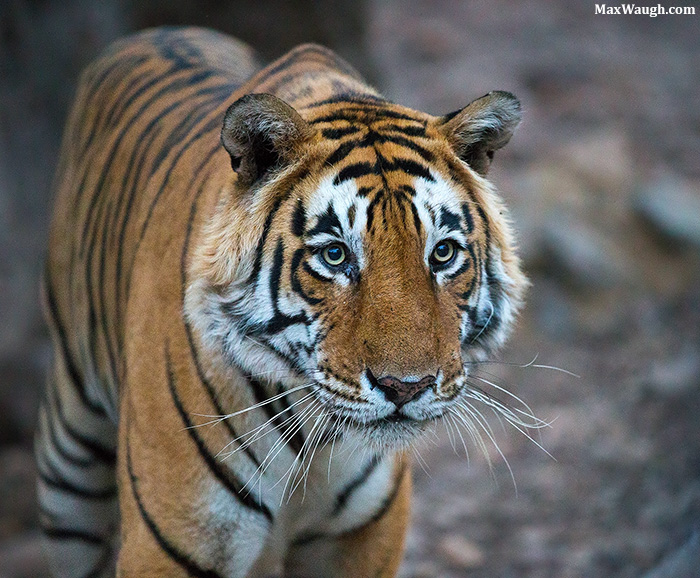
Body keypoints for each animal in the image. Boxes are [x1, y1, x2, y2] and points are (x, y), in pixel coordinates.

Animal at [36, 26, 528, 578]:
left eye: (442, 252)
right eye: (335, 255)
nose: (407, 388)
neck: (316, 437)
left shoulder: (363, 535)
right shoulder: (170, 542)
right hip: (70, 463)